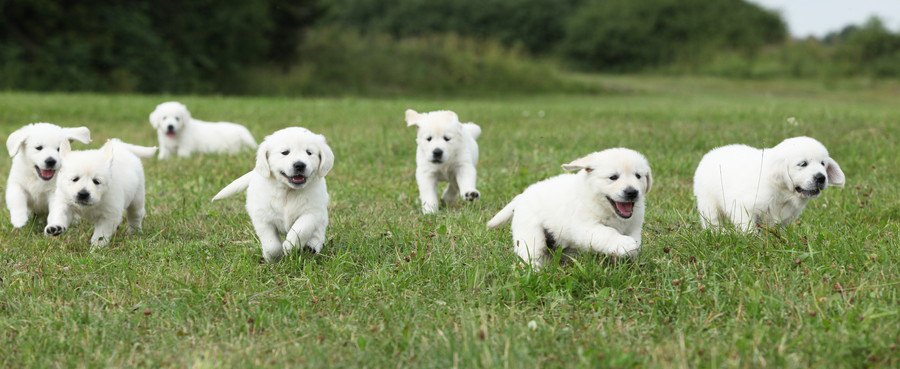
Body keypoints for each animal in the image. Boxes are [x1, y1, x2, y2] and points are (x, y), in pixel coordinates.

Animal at [214, 126, 334, 262]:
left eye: (309, 152)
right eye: (285, 152)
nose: (299, 165)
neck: (288, 191)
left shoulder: (312, 212)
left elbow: (301, 228)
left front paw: (290, 246)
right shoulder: (262, 217)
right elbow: (271, 244)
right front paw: (272, 259)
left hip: (322, 215)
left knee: (319, 230)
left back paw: (312, 246)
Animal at [488, 148, 652, 268]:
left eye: (638, 176)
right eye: (613, 177)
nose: (632, 192)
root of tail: (521, 196)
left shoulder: (634, 227)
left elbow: (635, 241)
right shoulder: (586, 227)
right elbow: (607, 233)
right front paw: (626, 244)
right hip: (530, 235)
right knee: (531, 255)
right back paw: (535, 272)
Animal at [692, 135, 848, 230]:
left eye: (823, 164)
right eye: (803, 164)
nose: (821, 178)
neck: (783, 192)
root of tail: (709, 154)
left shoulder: (786, 216)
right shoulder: (743, 207)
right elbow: (748, 227)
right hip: (708, 201)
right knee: (711, 220)